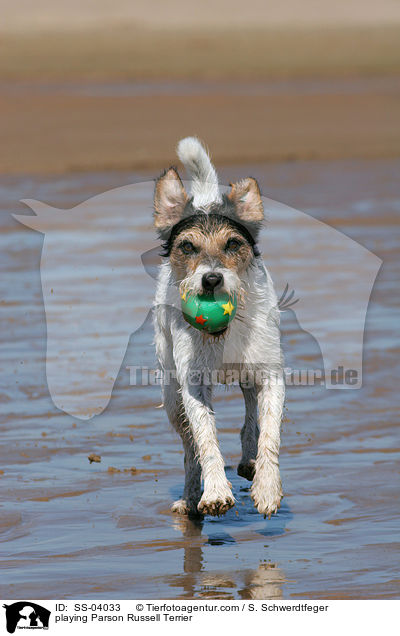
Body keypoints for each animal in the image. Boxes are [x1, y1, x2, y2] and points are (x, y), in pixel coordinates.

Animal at [152, 138, 284, 516]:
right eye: (187, 246)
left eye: (233, 243)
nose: (211, 279)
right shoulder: (192, 385)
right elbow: (205, 440)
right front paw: (214, 492)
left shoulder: (270, 372)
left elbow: (269, 431)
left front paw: (267, 487)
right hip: (171, 397)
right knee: (188, 449)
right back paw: (190, 498)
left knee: (251, 414)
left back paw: (249, 461)